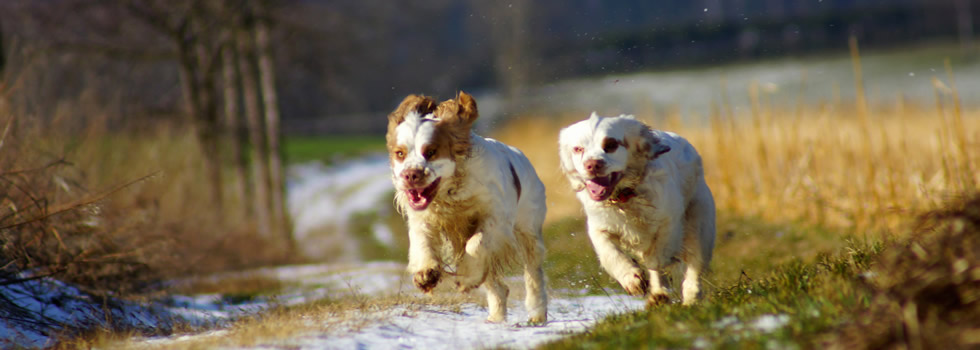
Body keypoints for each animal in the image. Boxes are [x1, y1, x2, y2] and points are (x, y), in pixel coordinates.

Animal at [384, 92, 552, 322]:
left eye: (431, 151)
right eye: (400, 153)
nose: (411, 175)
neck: (451, 192)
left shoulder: (497, 220)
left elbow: (475, 246)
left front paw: (466, 277)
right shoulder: (423, 220)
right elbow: (422, 244)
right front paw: (426, 274)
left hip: (529, 230)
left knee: (533, 272)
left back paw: (536, 313)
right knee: (498, 286)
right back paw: (496, 319)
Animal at [564, 113, 716, 304]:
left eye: (611, 145)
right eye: (578, 149)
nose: (592, 165)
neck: (624, 198)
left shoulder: (669, 219)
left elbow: (658, 255)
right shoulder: (599, 227)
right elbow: (609, 253)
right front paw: (632, 278)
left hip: (700, 225)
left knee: (695, 265)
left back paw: (690, 298)